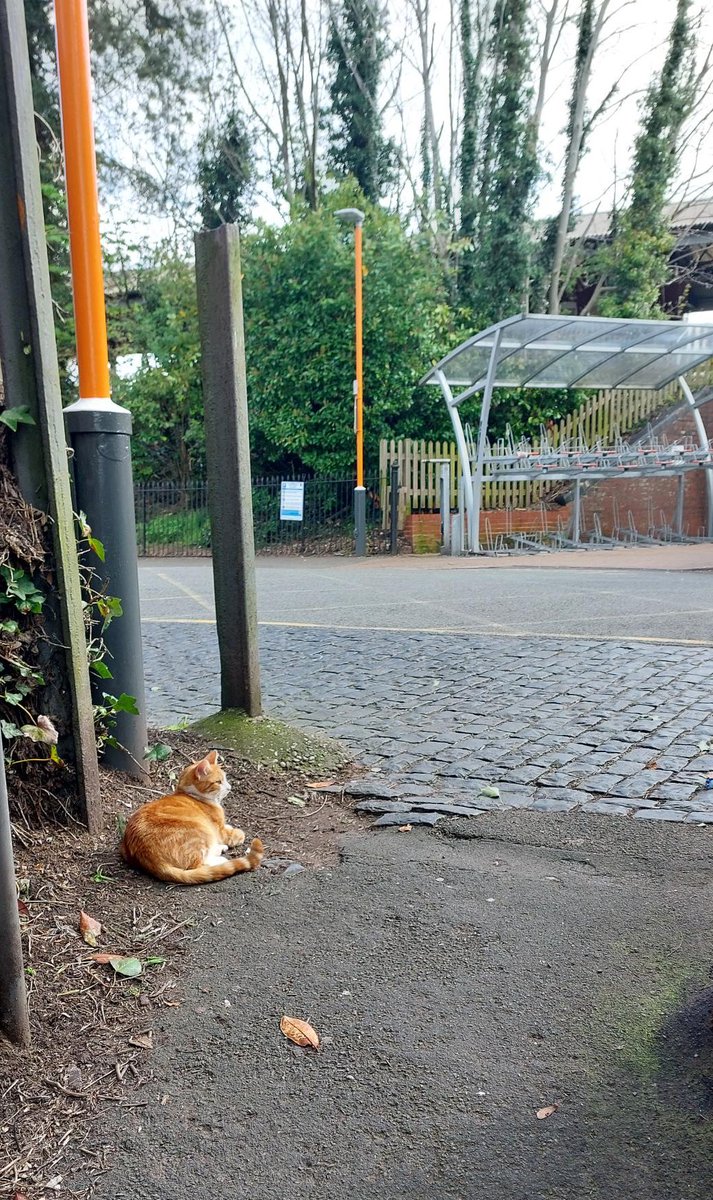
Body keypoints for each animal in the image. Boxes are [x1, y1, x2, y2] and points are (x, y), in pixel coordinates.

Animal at [119, 753, 264, 888]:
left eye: (226, 778)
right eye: (218, 782)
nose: (229, 787)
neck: (191, 794)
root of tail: (148, 855)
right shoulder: (220, 832)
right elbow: (237, 834)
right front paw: (238, 834)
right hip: (202, 832)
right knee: (198, 865)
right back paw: (220, 857)